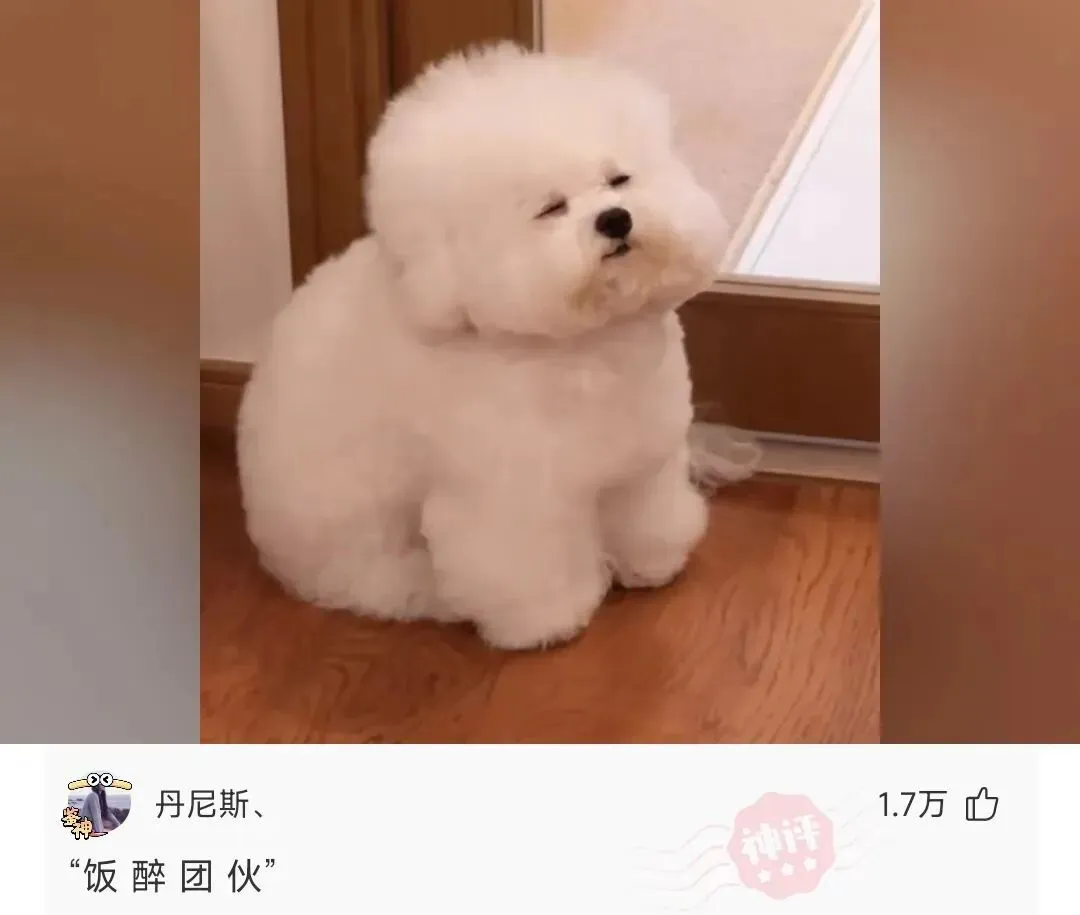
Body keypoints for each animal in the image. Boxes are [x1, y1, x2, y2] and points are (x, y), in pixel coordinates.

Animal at [237, 42, 757, 650]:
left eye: (619, 180)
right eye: (551, 208)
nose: (615, 219)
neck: (584, 345)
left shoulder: (639, 461)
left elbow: (644, 515)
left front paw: (649, 564)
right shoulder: (511, 495)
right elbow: (523, 564)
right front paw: (547, 620)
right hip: (355, 521)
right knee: (369, 580)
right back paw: (427, 594)